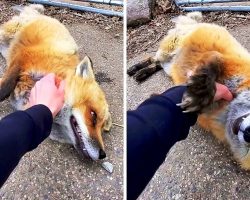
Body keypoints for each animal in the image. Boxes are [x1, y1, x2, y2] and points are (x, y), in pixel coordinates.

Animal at [0, 4, 112, 161]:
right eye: (93, 115)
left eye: (102, 127)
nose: (103, 154)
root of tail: (40, 15)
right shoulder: (22, 59)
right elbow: (5, 87)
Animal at [128, 12, 250, 169]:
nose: (248, 134)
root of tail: (195, 23)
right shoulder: (222, 59)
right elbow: (214, 62)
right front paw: (201, 91)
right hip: (167, 51)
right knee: (154, 58)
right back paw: (137, 69)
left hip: (168, 67)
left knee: (157, 64)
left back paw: (143, 72)